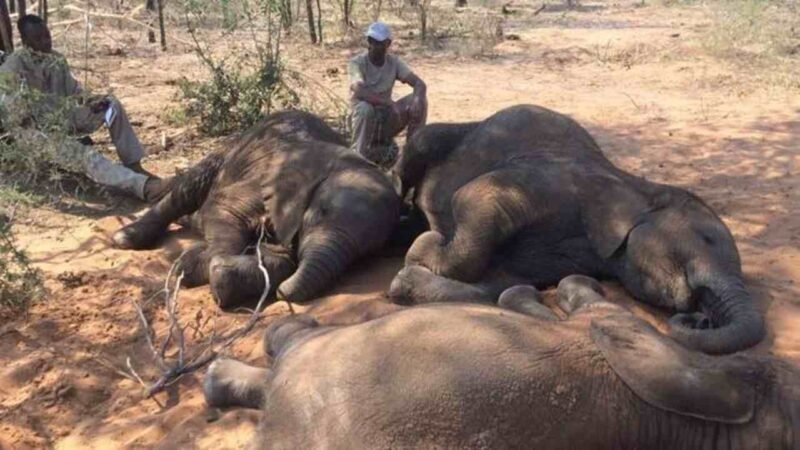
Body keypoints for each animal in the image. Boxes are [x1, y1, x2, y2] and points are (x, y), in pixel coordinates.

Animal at [112, 110, 400, 307]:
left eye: (366, 254)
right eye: (320, 213)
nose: (283, 293)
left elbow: (283, 258)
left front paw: (223, 274)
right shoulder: (262, 182)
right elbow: (223, 209)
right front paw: (190, 266)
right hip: (228, 152)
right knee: (189, 189)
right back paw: (125, 238)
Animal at [387, 104, 765, 354]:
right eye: (707, 239)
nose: (701, 319)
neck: (638, 188)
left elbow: (499, 281)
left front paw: (408, 277)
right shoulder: (559, 182)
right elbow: (475, 196)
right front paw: (424, 246)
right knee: (419, 146)